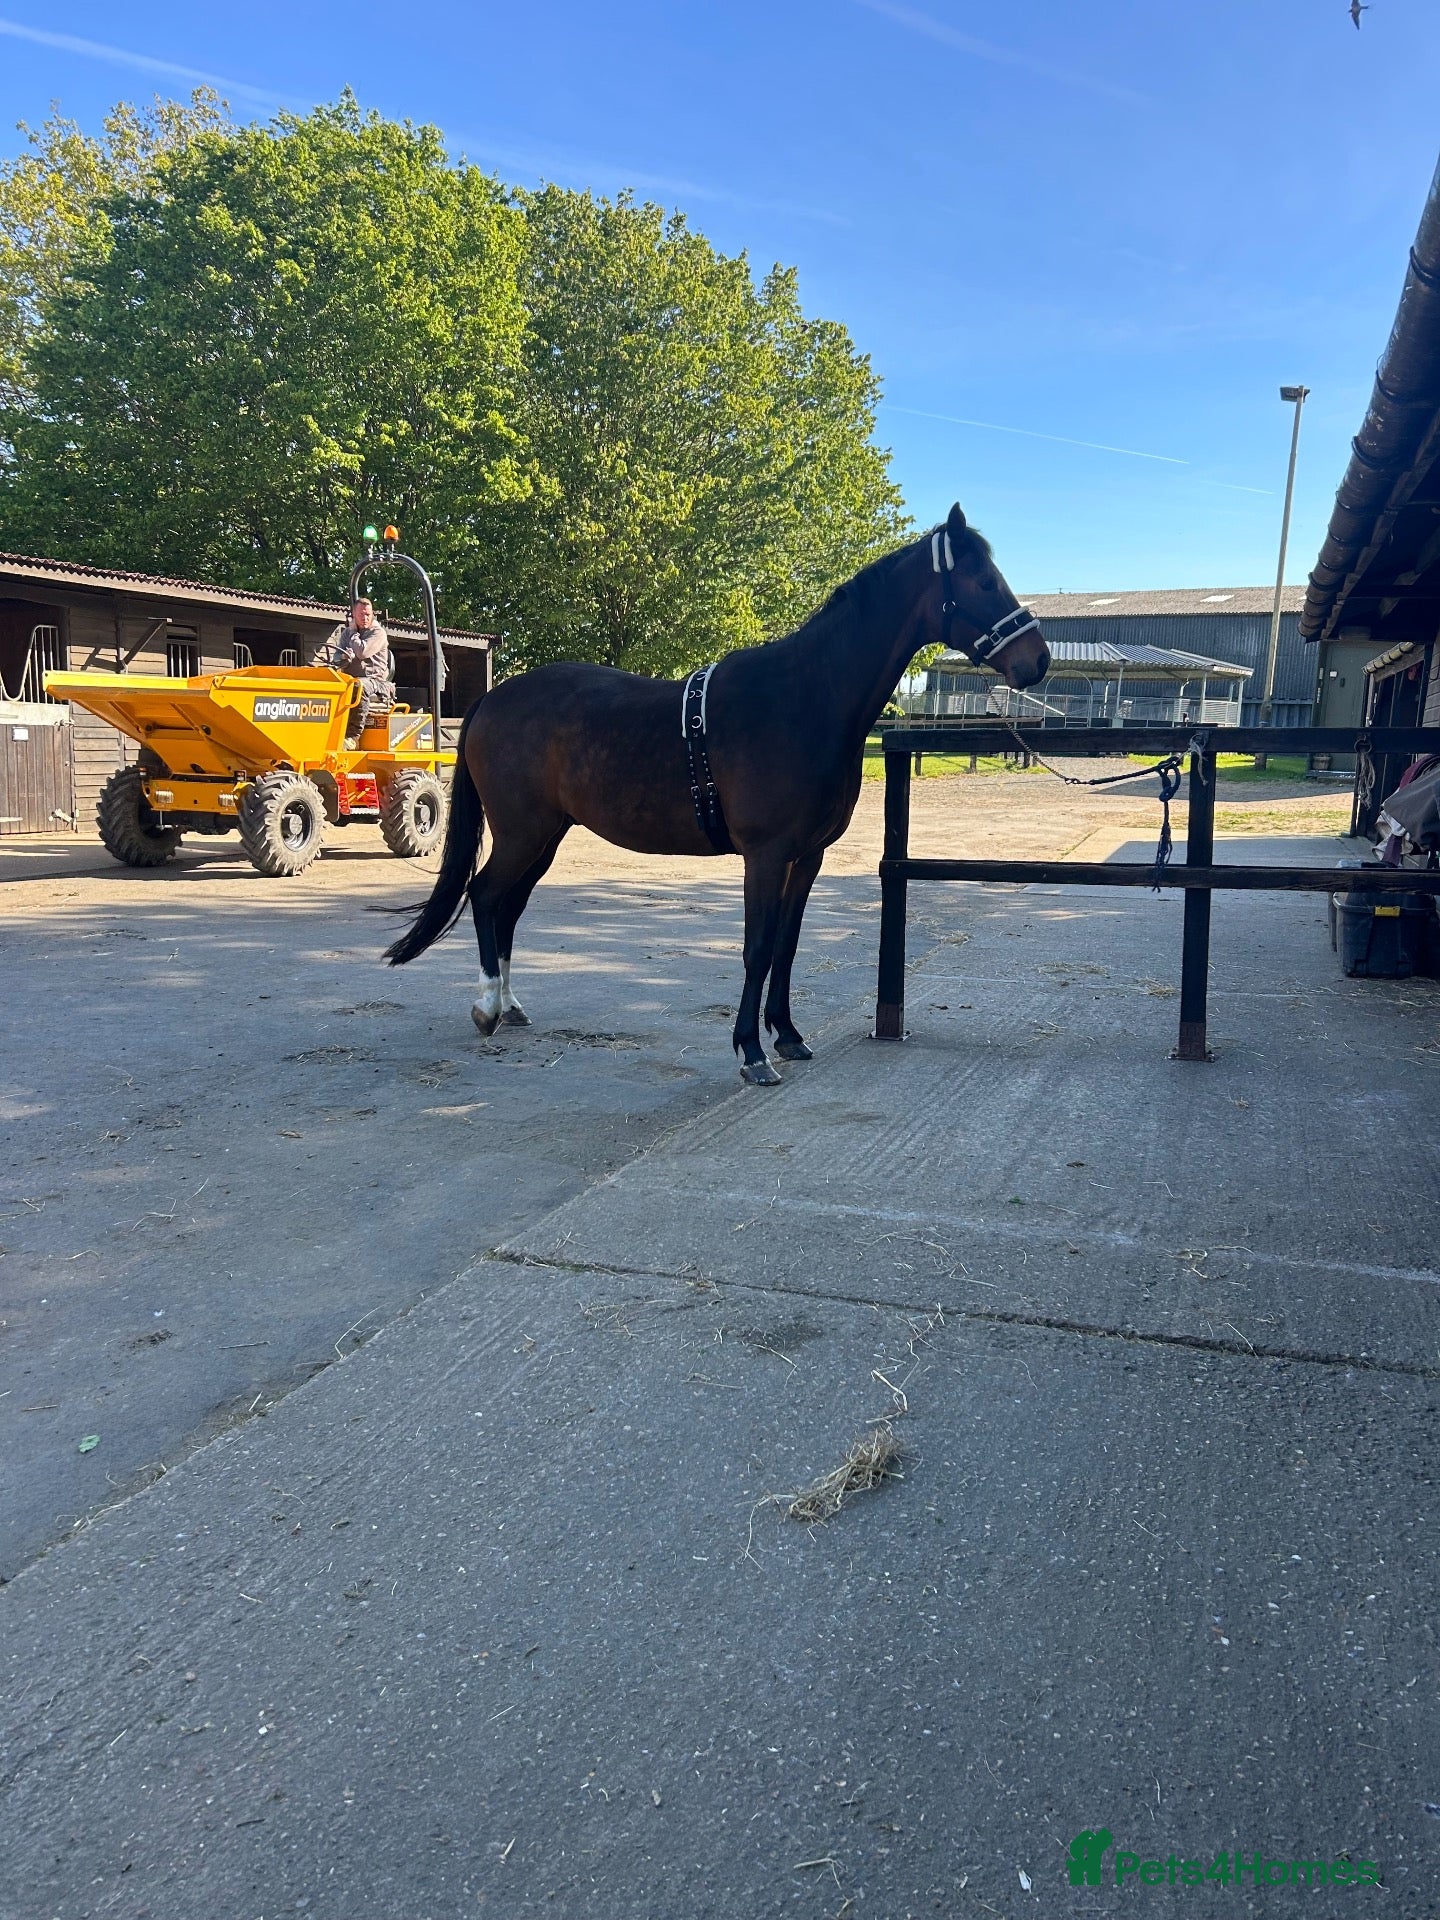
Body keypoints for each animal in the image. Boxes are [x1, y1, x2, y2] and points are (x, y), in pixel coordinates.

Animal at [384, 503, 1050, 1084]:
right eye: (984, 581)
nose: (1037, 661)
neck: (804, 698)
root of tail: (491, 701)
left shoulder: (807, 857)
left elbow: (786, 945)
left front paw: (787, 1035)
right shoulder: (766, 853)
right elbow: (758, 947)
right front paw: (752, 1052)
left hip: (545, 836)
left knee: (507, 906)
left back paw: (511, 1004)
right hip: (522, 833)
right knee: (485, 895)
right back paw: (488, 1008)